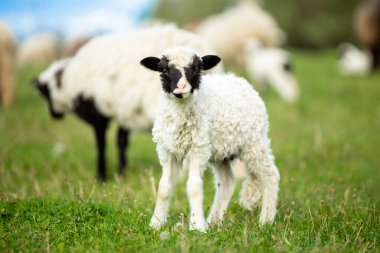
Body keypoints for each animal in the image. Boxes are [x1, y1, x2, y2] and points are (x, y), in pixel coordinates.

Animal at [32, 24, 223, 181]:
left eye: (45, 93)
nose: (54, 116)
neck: (68, 81)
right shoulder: (125, 111)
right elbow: (121, 141)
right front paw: (121, 173)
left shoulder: (97, 113)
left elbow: (101, 144)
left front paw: (101, 176)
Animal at [141, 47, 280, 231]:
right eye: (164, 69)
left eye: (196, 68)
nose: (181, 87)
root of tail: (239, 80)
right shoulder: (167, 150)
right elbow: (164, 187)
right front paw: (156, 223)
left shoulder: (198, 148)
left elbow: (194, 187)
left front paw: (197, 226)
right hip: (220, 151)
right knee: (227, 181)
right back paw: (214, 221)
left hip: (254, 141)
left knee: (270, 175)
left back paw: (266, 220)